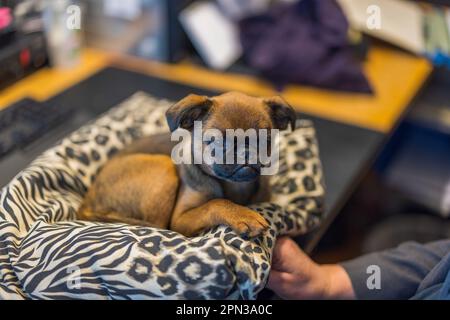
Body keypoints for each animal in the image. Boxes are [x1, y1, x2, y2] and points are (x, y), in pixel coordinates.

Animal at [77, 91, 296, 236]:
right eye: (217, 141)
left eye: (266, 140)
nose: (245, 153)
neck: (235, 187)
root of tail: (86, 203)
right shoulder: (180, 219)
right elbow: (216, 203)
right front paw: (242, 215)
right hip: (164, 168)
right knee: (157, 225)